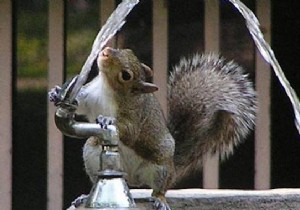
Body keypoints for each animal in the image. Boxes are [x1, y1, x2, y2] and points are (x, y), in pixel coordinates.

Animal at [49, 47, 255, 210]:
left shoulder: (135, 115)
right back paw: (86, 196)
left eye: (126, 75)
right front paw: (55, 92)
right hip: (92, 153)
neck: (107, 88)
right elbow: (79, 104)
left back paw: (159, 199)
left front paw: (107, 119)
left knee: (159, 188)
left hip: (160, 168)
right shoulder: (89, 96)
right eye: (126, 49)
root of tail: (132, 178)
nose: (106, 51)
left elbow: (130, 131)